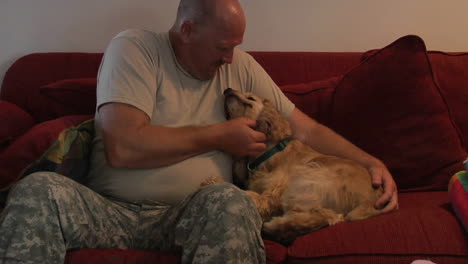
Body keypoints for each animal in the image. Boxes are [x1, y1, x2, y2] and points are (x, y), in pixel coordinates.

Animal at [223, 88, 384, 243]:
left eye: (250, 98)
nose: (227, 89)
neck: (270, 152)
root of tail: (371, 202)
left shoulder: (274, 193)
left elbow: (251, 196)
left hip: (307, 179)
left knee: (328, 216)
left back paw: (276, 227)